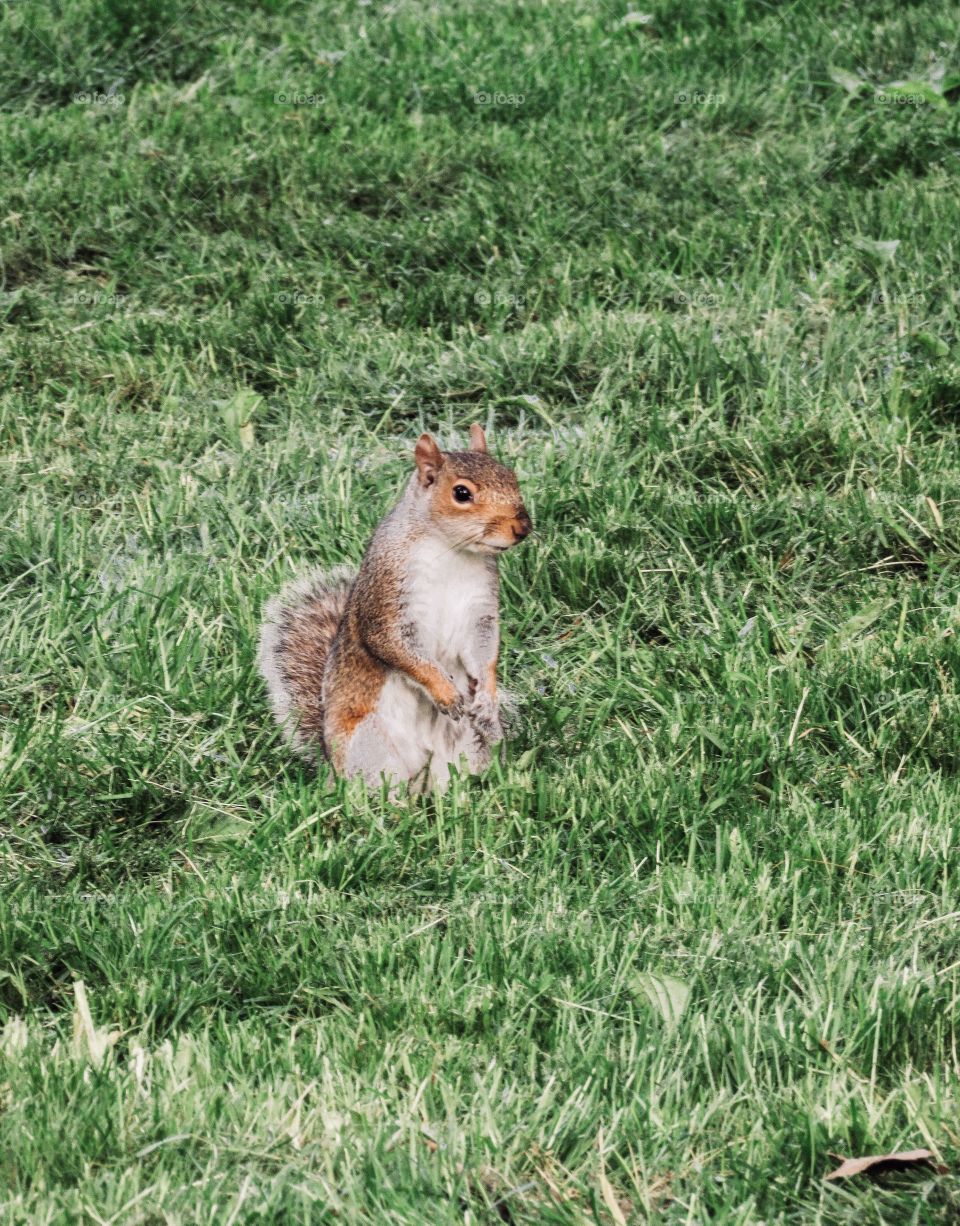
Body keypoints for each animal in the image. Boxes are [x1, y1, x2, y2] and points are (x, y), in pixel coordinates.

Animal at [258, 429, 532, 794]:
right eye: (461, 493)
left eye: (512, 477)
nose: (522, 527)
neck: (451, 551)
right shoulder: (387, 601)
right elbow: (396, 648)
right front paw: (446, 693)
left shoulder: (480, 610)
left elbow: (483, 652)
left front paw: (488, 697)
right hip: (370, 748)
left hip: (466, 745)